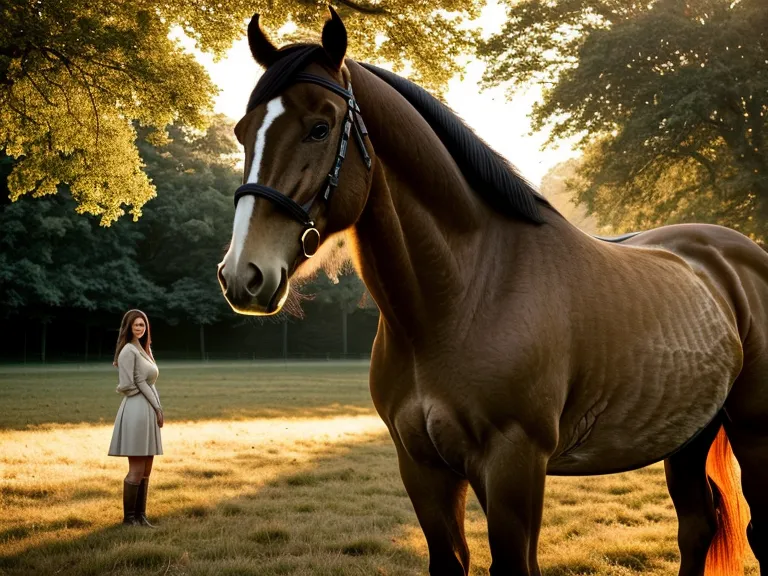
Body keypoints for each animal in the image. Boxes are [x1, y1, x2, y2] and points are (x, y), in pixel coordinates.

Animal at [217, 9, 768, 575]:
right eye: (242, 131)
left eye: (320, 127)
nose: (244, 274)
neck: (465, 297)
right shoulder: (423, 466)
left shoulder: (514, 464)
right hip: (688, 436)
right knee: (697, 527)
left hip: (754, 434)